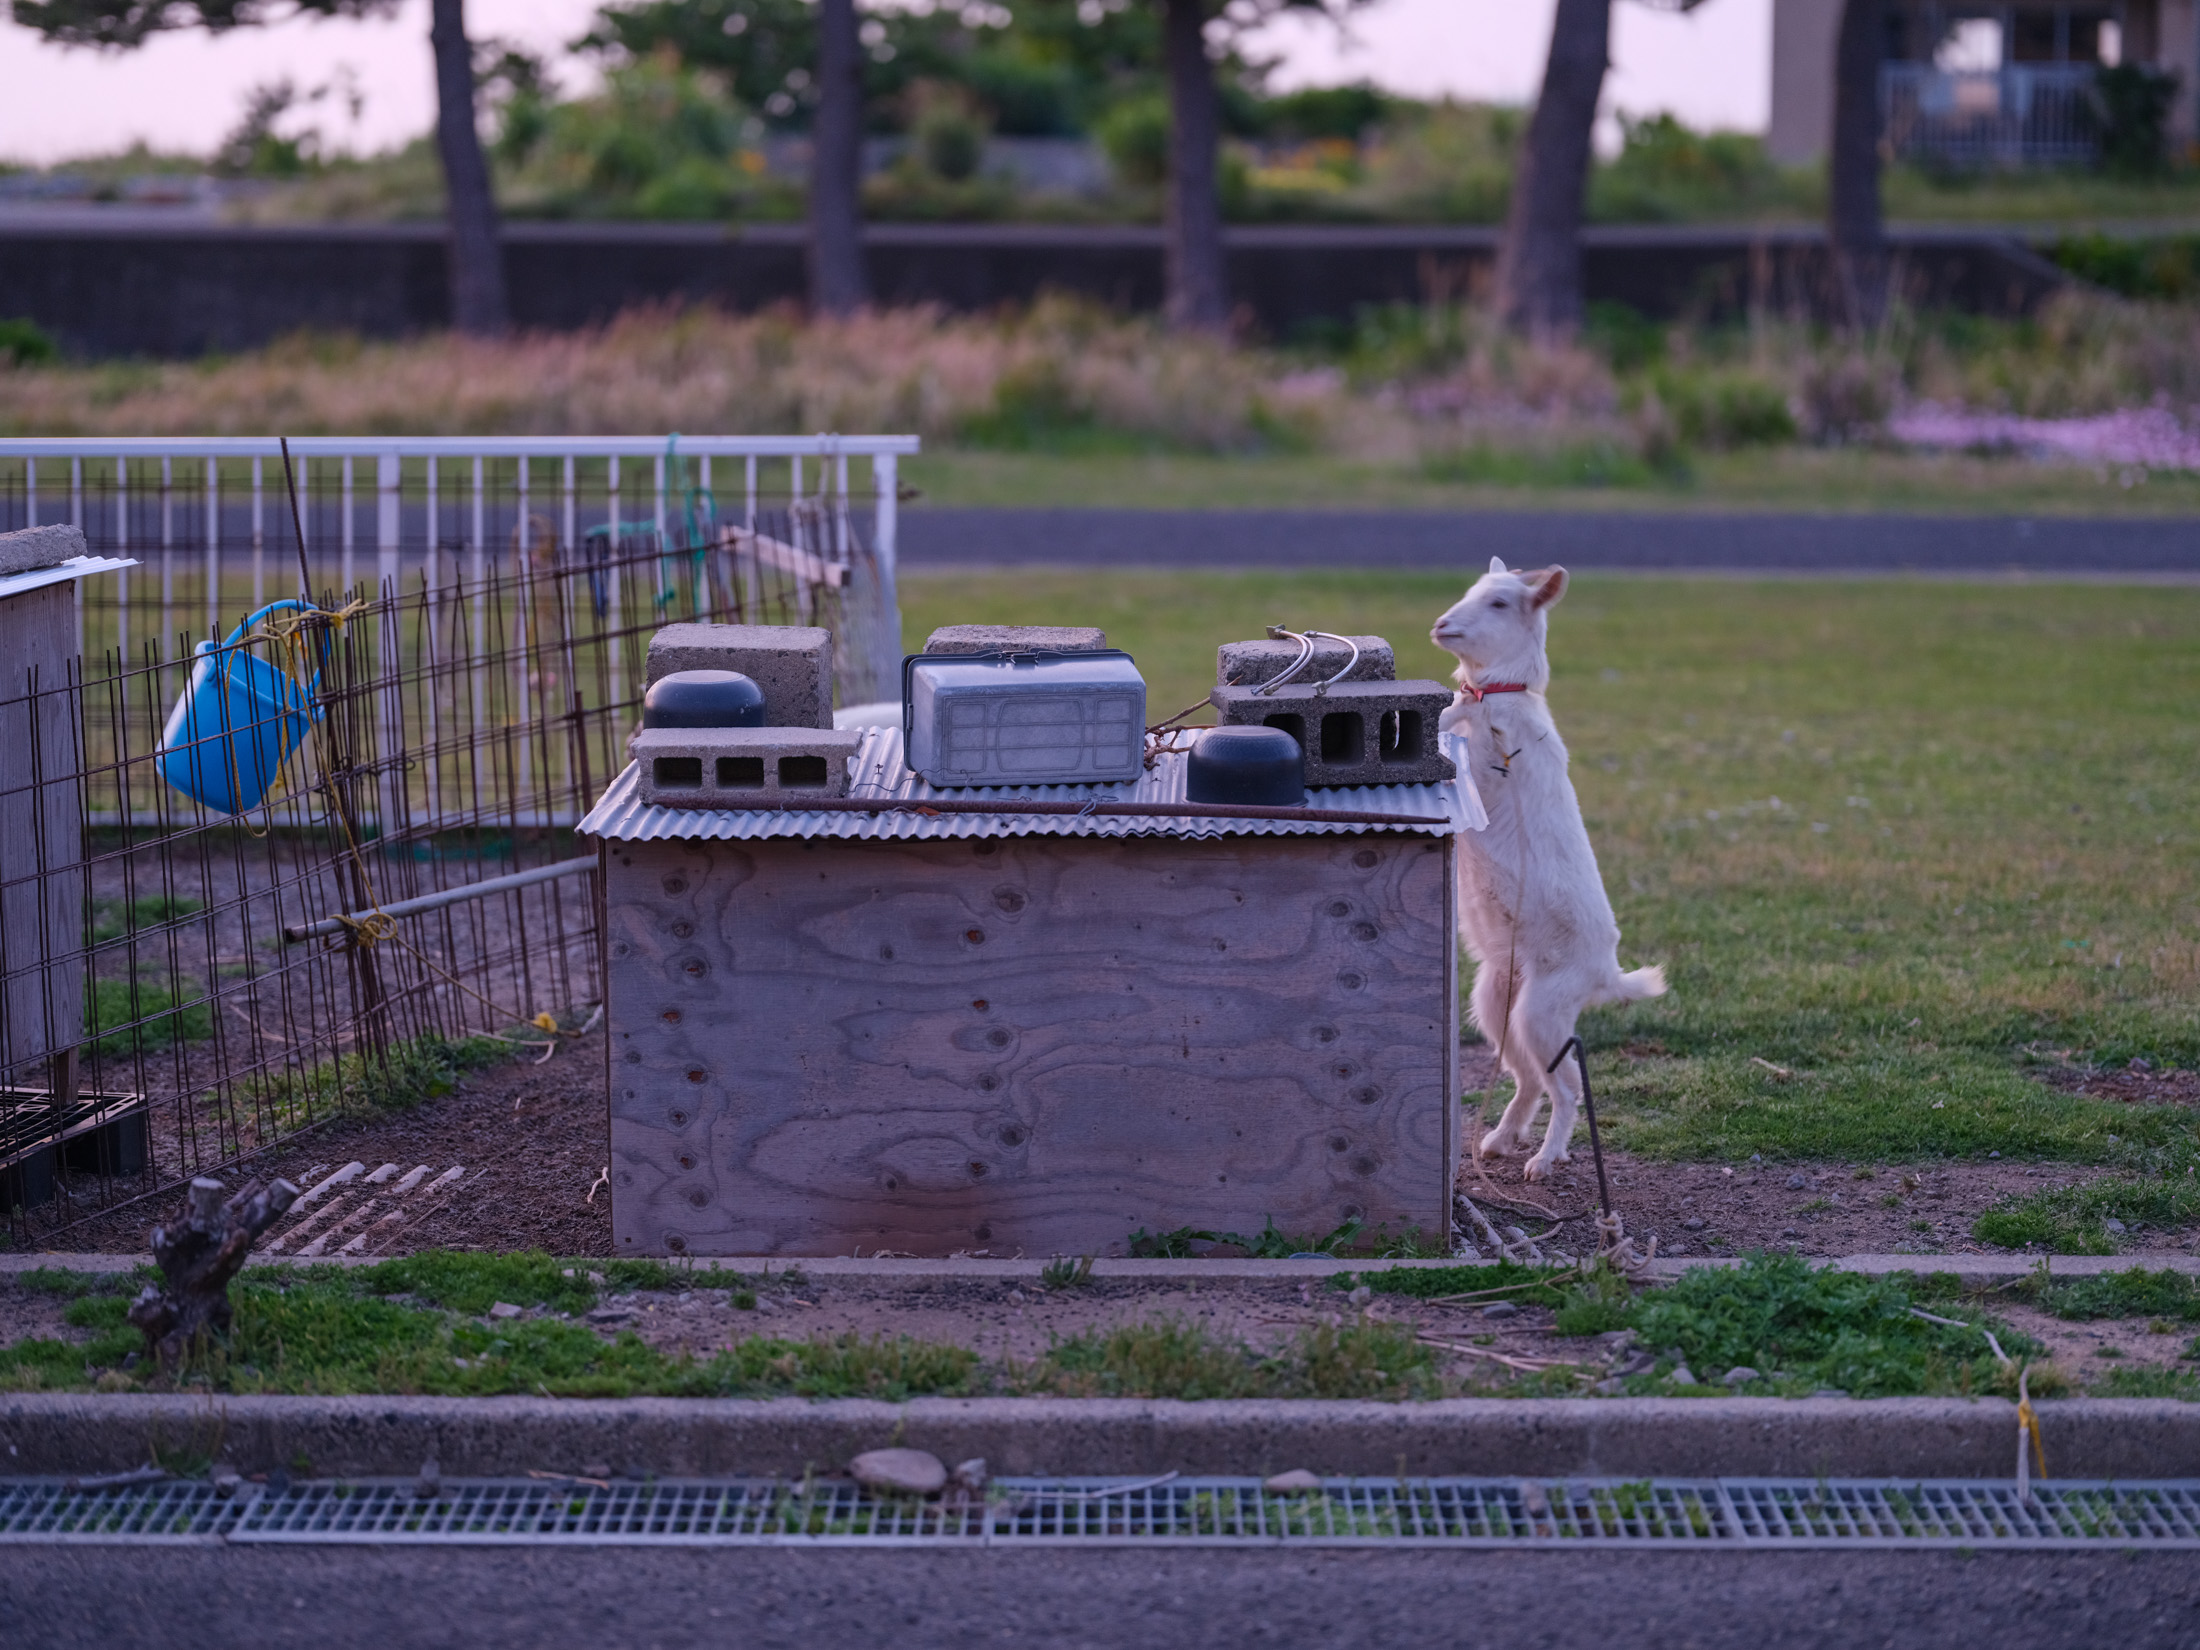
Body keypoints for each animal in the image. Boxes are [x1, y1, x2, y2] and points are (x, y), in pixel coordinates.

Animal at [1431, 556, 1667, 1181]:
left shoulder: (1483, 767)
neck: (1492, 693)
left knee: (1566, 1087)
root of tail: (1606, 973)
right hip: (1499, 1002)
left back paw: (1544, 1158)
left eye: (1499, 603)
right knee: (1532, 1079)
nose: (1442, 624)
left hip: (1541, 1011)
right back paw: (1498, 1141)